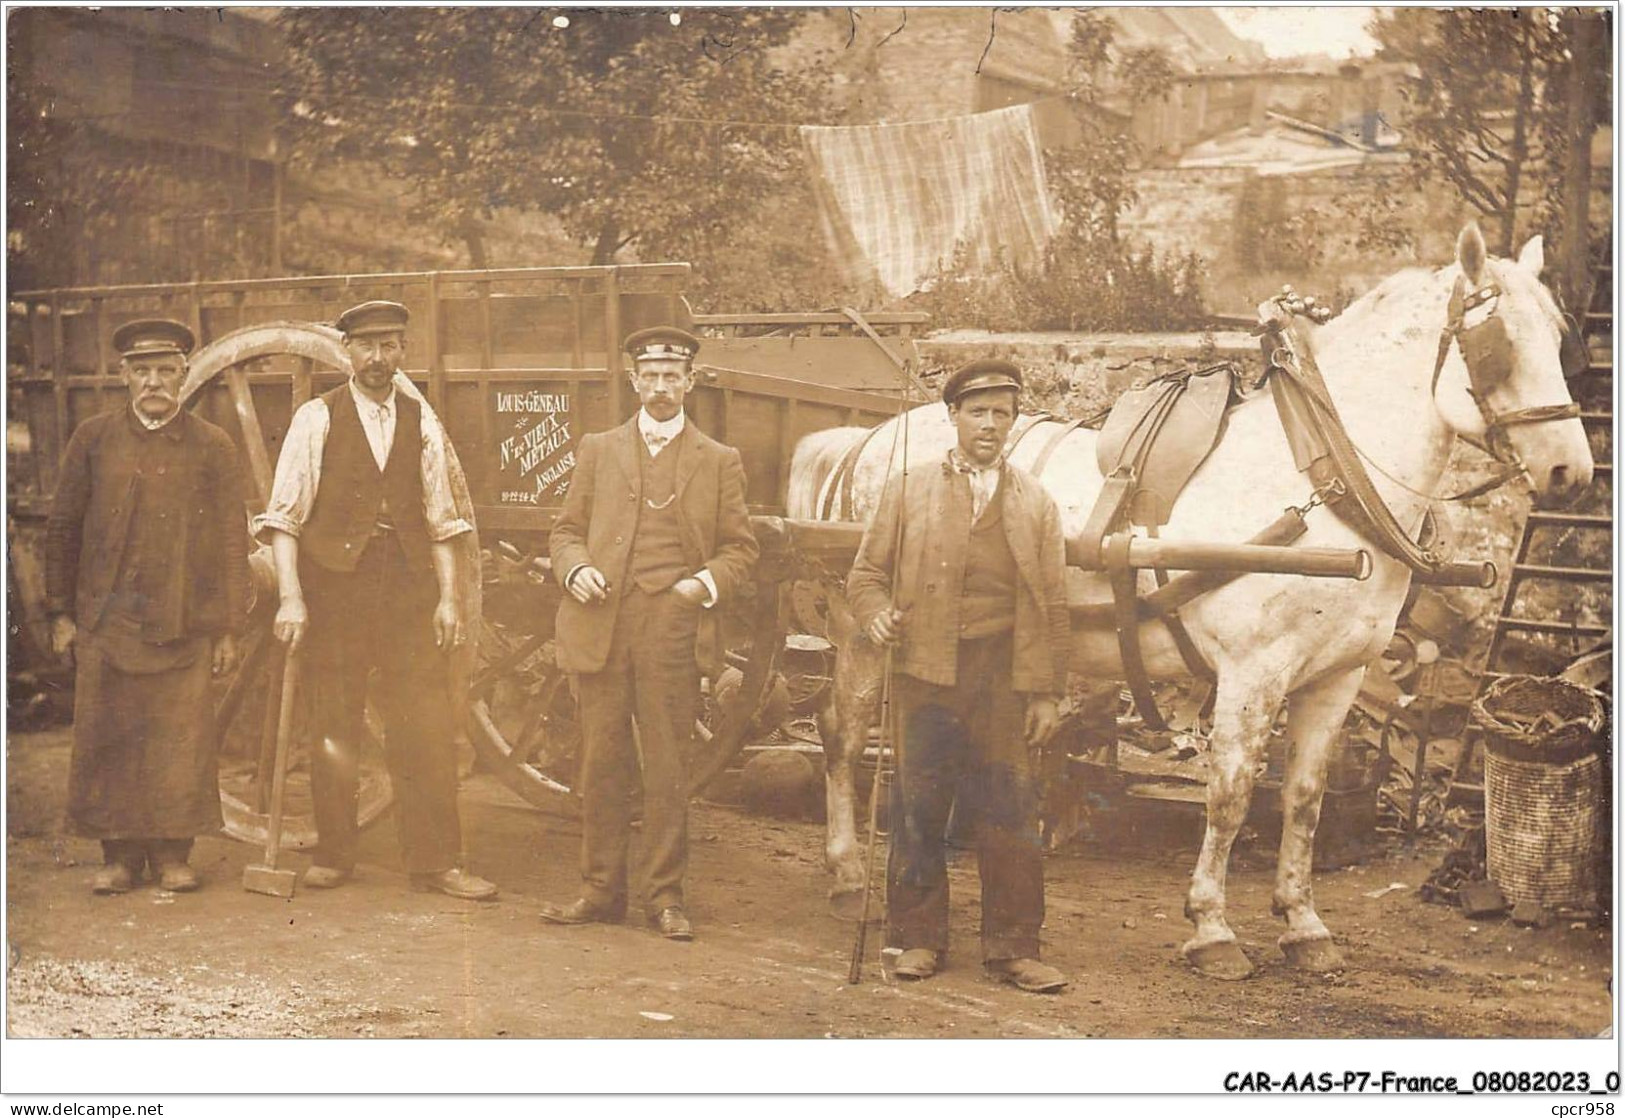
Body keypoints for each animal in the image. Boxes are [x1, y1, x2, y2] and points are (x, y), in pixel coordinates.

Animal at [793, 227, 1592, 975]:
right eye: (1498, 344)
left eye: (1558, 337)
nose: (1571, 471)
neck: (1323, 484)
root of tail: (868, 437)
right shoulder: (1252, 675)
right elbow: (1231, 795)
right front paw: (1211, 927)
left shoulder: (1337, 679)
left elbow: (1304, 798)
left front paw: (1303, 924)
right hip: (865, 629)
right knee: (844, 730)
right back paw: (847, 874)